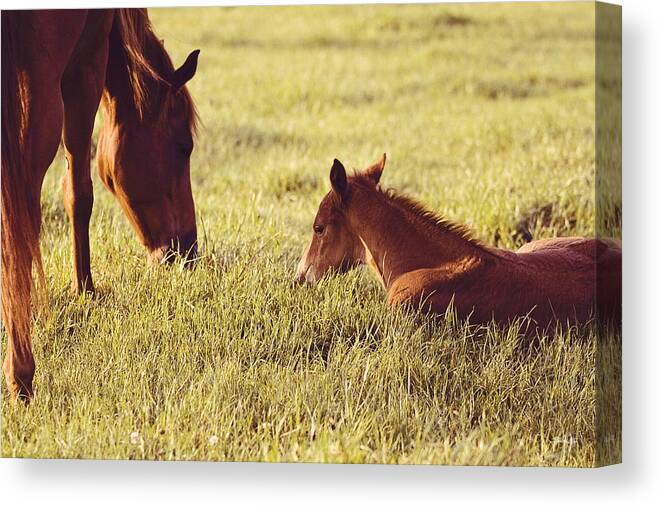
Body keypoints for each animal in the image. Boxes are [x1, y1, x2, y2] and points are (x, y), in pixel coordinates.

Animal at [1, 8, 201, 400]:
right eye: (183, 146)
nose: (188, 249)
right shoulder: (86, 63)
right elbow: (78, 191)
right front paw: (84, 288)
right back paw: (21, 371)